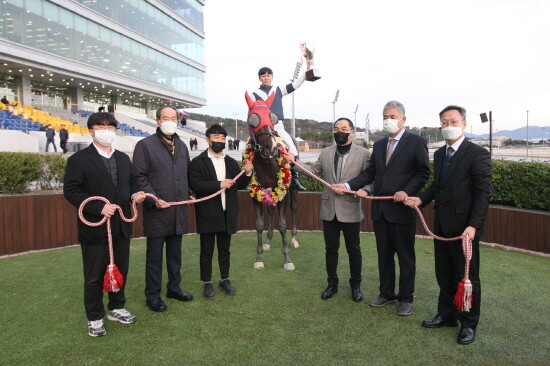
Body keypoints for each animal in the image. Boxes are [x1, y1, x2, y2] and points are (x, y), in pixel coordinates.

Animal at [246, 91, 302, 268]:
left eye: (273, 118)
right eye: (253, 119)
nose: (271, 147)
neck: (267, 161)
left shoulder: (283, 192)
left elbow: (283, 225)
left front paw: (287, 259)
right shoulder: (255, 193)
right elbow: (259, 225)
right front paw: (259, 258)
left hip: (292, 190)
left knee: (294, 207)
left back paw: (294, 239)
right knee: (271, 209)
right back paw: (268, 240)